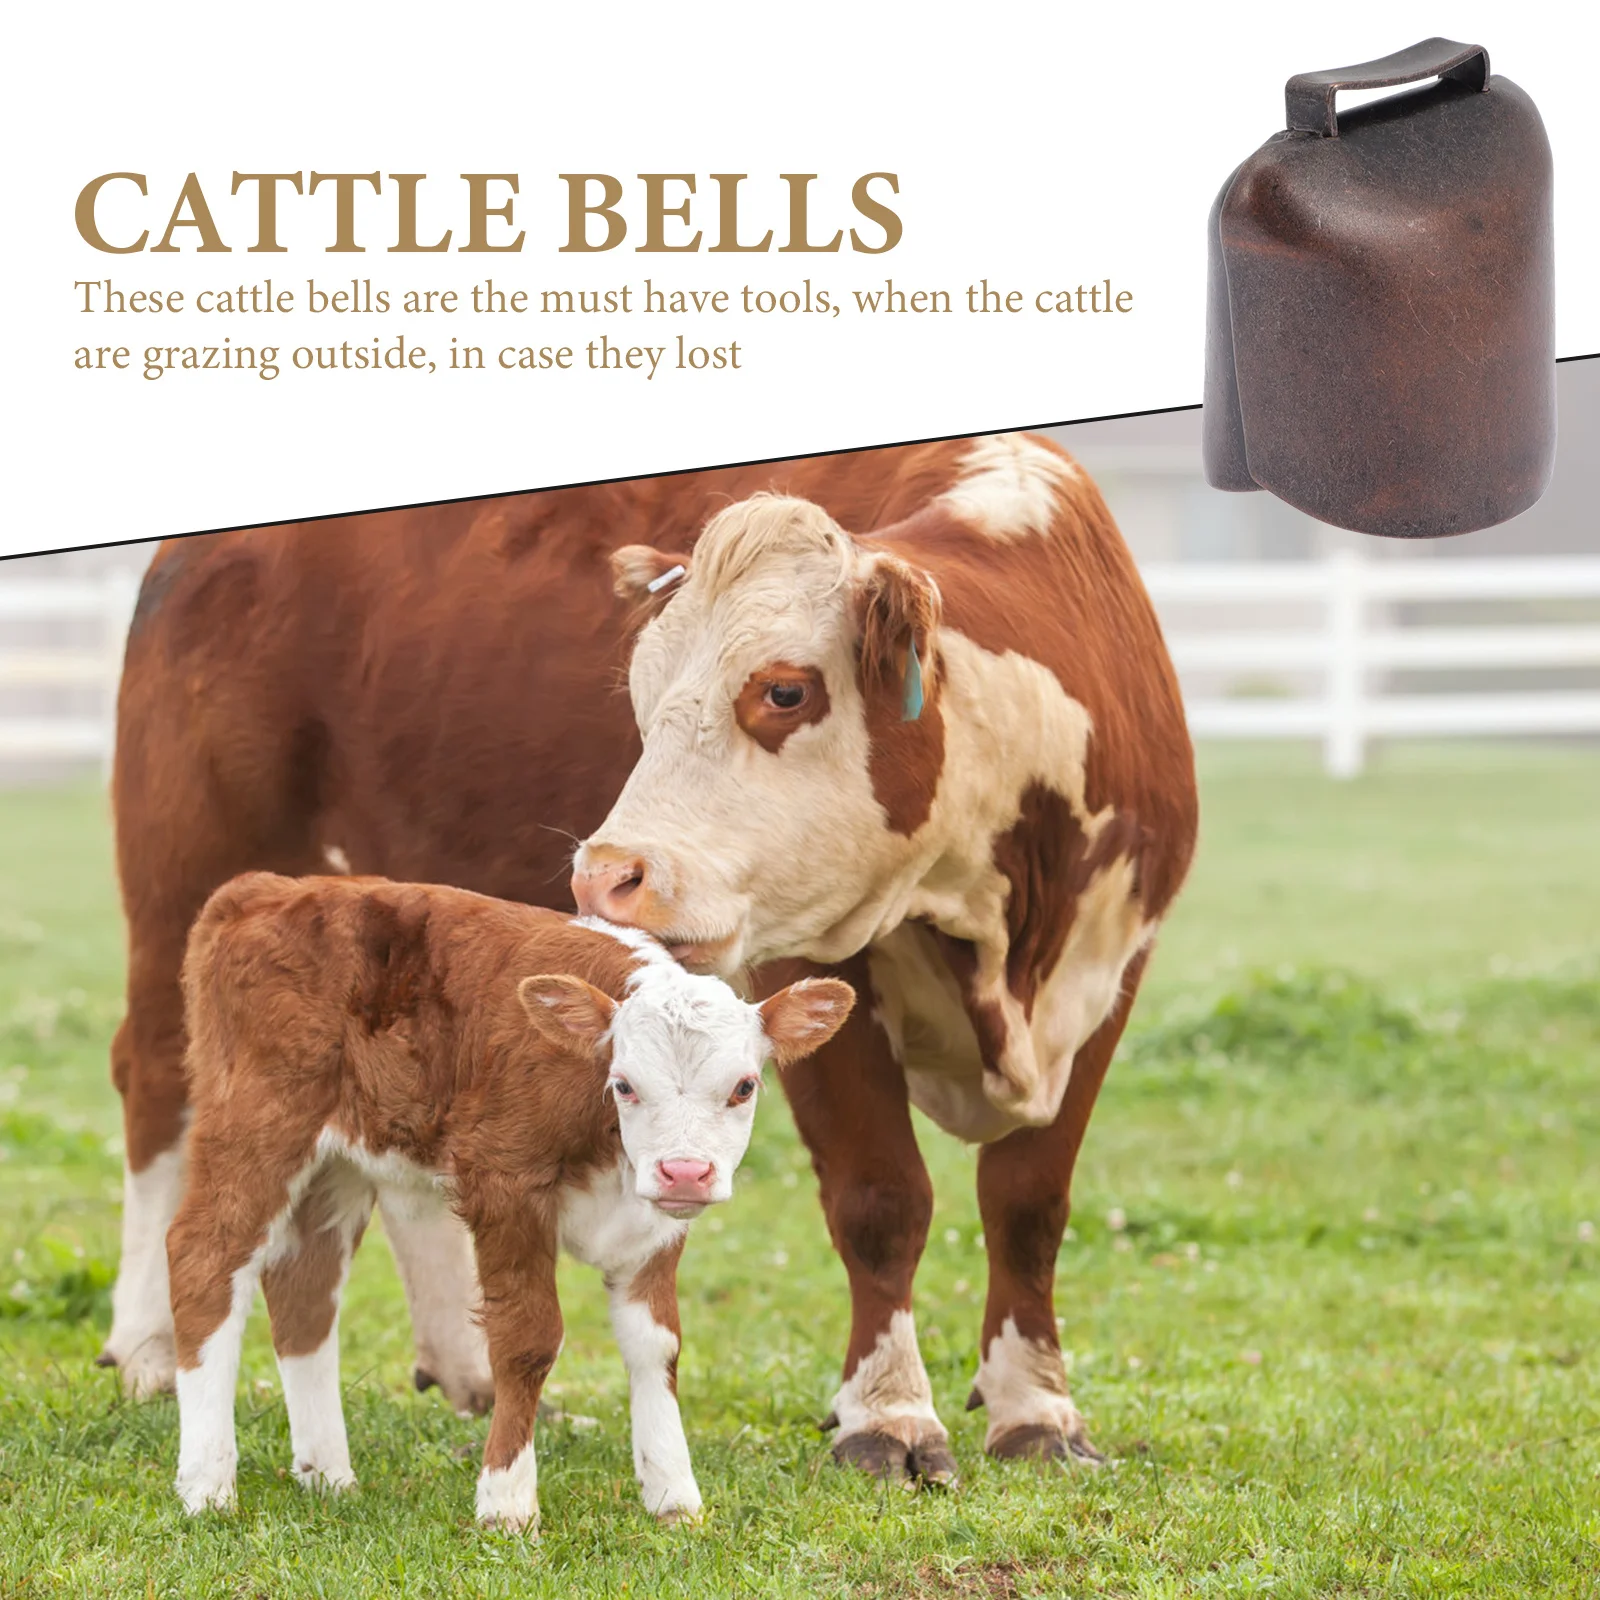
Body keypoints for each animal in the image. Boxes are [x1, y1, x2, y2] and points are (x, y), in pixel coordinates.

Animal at [167, 870, 854, 1527]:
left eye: (744, 1087)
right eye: (625, 1085)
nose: (685, 1172)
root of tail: (268, 889)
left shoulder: (653, 1222)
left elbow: (657, 1346)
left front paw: (673, 1496)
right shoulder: (503, 1182)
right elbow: (528, 1340)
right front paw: (507, 1502)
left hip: (337, 1165)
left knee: (304, 1286)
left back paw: (328, 1475)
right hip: (257, 1121)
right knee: (203, 1258)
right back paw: (208, 1486)